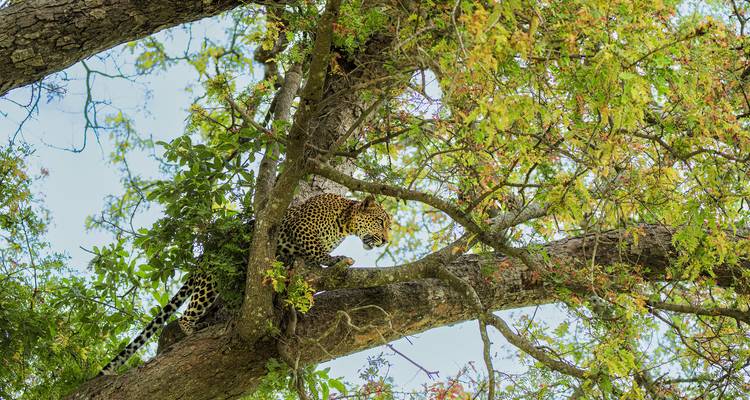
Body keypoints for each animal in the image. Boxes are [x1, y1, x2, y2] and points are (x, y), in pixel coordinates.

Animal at [100, 193, 391, 375]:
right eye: (380, 222)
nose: (387, 240)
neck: (344, 221)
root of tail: (202, 260)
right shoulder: (300, 230)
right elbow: (317, 251)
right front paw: (337, 259)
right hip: (210, 280)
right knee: (185, 315)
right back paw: (194, 328)